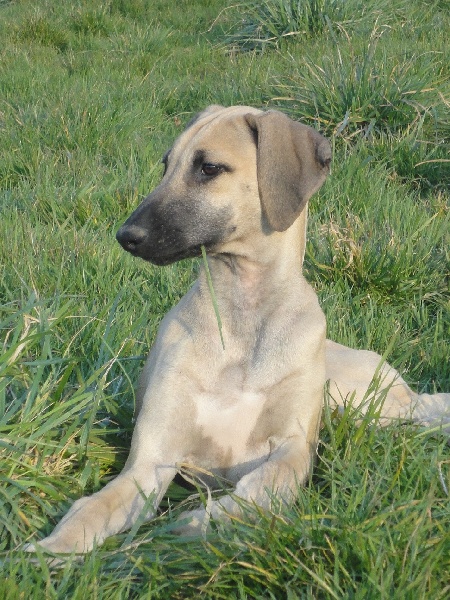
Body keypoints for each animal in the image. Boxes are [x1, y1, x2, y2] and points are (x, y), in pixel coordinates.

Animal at [26, 105, 450, 554]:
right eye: (166, 165)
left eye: (209, 167)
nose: (126, 236)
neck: (243, 316)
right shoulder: (151, 461)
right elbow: (94, 507)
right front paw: (51, 549)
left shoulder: (292, 449)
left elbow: (264, 484)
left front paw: (204, 522)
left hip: (356, 399)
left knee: (419, 408)